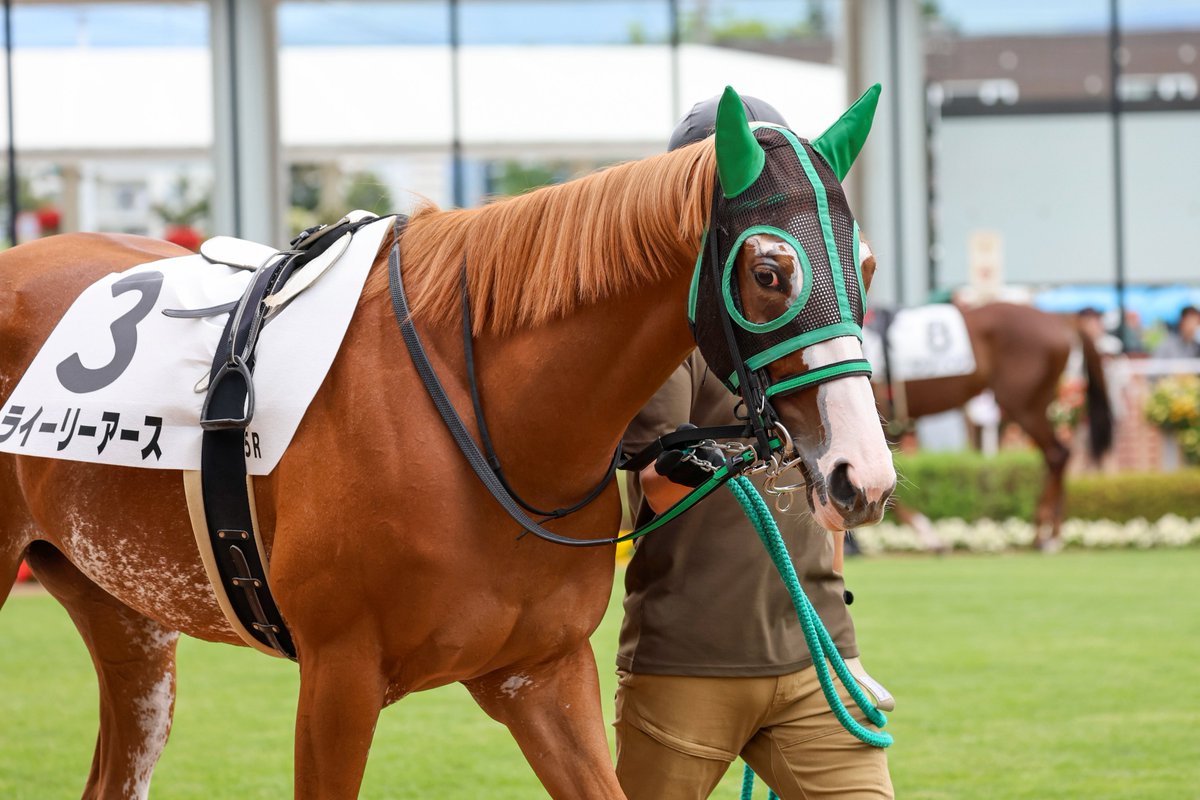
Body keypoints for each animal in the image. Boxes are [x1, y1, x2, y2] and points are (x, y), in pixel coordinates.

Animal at [0, 89, 896, 798]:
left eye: (868, 266)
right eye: (770, 273)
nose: (864, 475)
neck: (484, 426)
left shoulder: (541, 673)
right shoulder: (338, 679)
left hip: (125, 617)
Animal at [875, 302, 1113, 551]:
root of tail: (1060, 318)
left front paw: (930, 536)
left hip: (1024, 404)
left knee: (1057, 454)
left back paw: (1043, 534)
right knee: (1057, 456)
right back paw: (1052, 533)